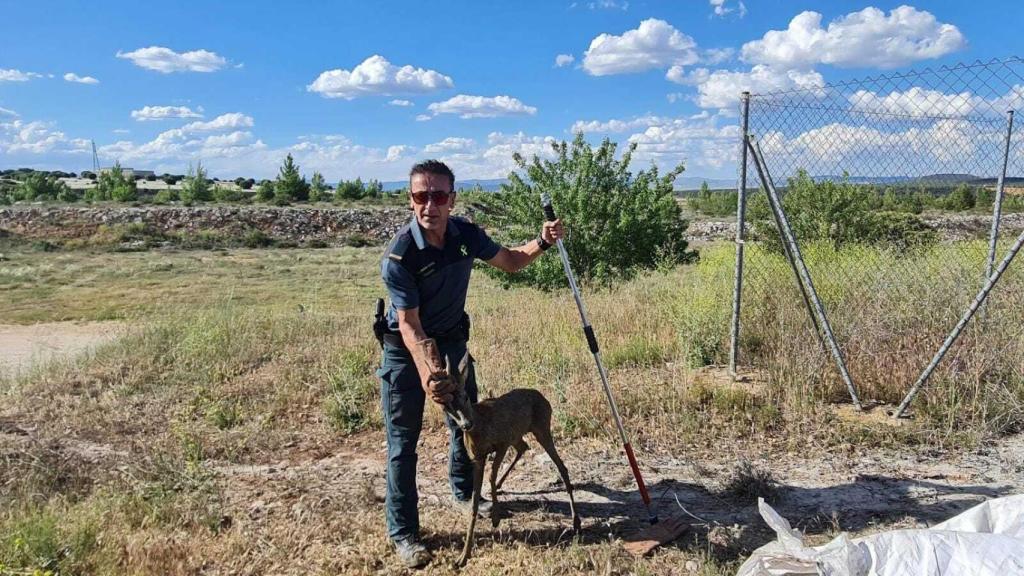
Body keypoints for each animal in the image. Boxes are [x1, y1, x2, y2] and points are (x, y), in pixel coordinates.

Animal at [444, 350, 581, 565]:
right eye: (447, 406)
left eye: (466, 397)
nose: (466, 424)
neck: (480, 425)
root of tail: (543, 398)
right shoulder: (478, 457)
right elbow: (474, 502)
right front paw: (463, 556)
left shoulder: (501, 442)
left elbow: (490, 476)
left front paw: (496, 518)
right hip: (520, 433)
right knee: (524, 447)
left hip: (541, 427)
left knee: (562, 467)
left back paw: (576, 522)